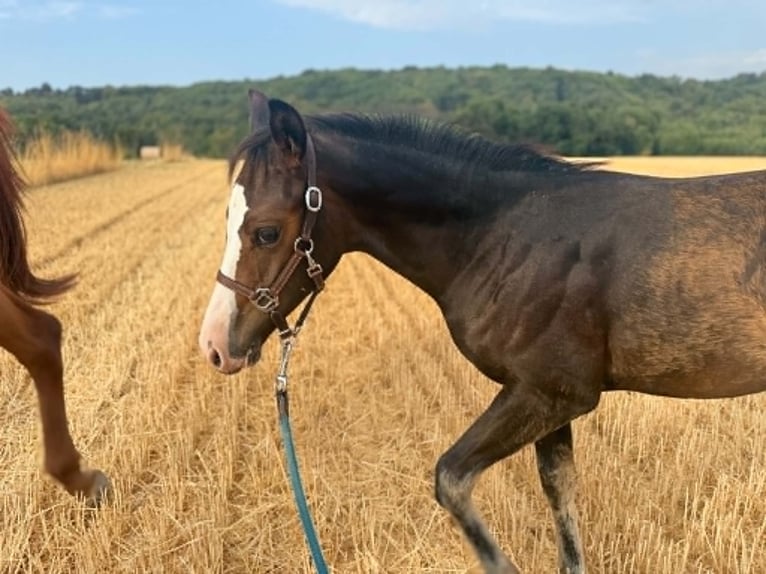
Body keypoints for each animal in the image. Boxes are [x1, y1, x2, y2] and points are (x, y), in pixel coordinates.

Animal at [198, 89, 766, 574]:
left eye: (266, 231)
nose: (216, 347)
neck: (502, 235)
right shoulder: (547, 402)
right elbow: (560, 496)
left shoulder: (551, 394)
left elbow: (451, 477)